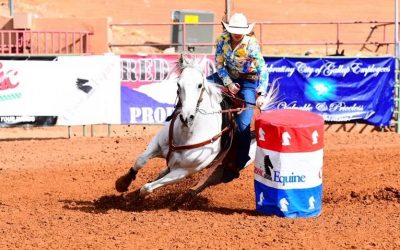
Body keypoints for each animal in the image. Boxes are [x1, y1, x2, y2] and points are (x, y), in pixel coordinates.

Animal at [115, 53, 276, 198]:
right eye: (178, 84)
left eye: (200, 85)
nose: (187, 117)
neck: (187, 133)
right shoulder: (157, 144)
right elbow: (140, 161)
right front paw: (122, 183)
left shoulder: (184, 172)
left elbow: (147, 188)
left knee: (212, 178)